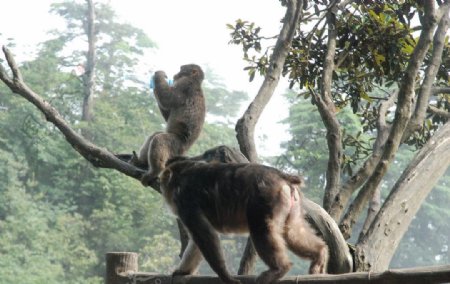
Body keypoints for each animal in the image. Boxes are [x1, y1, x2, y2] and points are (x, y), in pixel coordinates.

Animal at [160, 158, 328, 284]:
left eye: (164, 184)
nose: (163, 190)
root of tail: (282, 176)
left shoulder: (185, 201)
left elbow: (204, 235)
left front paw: (225, 276)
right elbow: (199, 240)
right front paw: (183, 270)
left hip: (267, 196)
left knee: (261, 229)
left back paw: (279, 269)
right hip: (290, 202)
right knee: (292, 231)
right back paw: (319, 253)